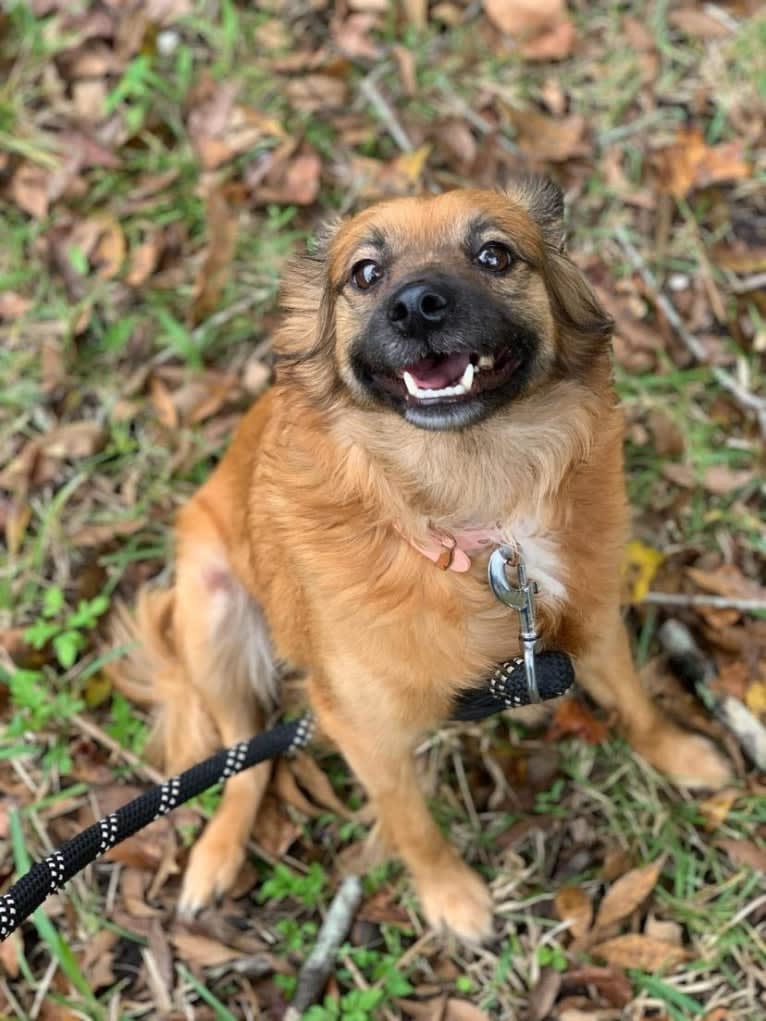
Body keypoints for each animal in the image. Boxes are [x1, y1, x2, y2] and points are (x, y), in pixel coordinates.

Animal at [112, 177, 731, 939]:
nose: (416, 305)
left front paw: (681, 753)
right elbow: (411, 823)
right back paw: (215, 856)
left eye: (494, 254)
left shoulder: (592, 619)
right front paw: (451, 894)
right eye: (365, 274)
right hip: (213, 617)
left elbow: (637, 702)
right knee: (243, 762)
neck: (478, 509)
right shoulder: (360, 725)